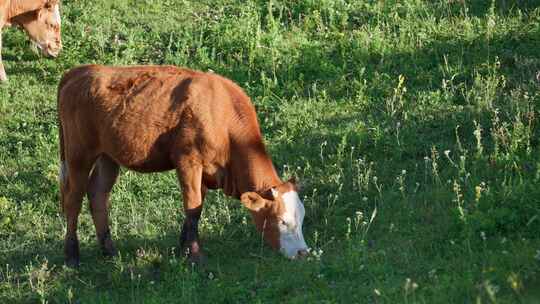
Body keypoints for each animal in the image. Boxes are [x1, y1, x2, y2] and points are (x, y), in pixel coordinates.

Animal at [57, 64, 310, 266]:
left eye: (302, 218)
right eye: (282, 221)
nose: (303, 253)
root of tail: (79, 71)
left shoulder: (207, 171)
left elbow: (196, 208)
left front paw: (183, 247)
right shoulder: (188, 161)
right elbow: (193, 206)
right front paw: (195, 256)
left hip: (108, 156)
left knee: (98, 194)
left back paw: (109, 251)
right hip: (78, 154)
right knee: (73, 199)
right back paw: (71, 257)